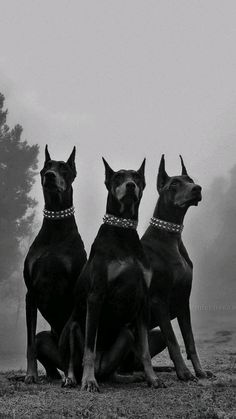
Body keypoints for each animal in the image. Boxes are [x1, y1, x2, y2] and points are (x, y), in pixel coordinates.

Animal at [23, 147, 86, 384]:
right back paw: (51, 375)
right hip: (44, 337)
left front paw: (70, 377)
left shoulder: (74, 293)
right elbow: (29, 343)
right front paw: (30, 375)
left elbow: (71, 341)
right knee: (41, 347)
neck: (56, 226)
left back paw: (71, 375)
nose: (50, 176)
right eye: (46, 167)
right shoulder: (30, 292)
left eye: (64, 168)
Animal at [59, 159, 164, 392]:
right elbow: (89, 348)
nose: (130, 186)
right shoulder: (96, 296)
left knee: (112, 372)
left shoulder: (143, 300)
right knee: (72, 361)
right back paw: (73, 379)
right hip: (72, 326)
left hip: (126, 332)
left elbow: (145, 350)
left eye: (137, 177)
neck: (123, 231)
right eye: (118, 177)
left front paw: (153, 378)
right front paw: (89, 382)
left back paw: (126, 377)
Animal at [142, 156, 212, 382]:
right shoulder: (159, 300)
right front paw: (184, 372)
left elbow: (190, 341)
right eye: (173, 184)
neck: (170, 237)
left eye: (190, 180)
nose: (197, 188)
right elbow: (173, 339)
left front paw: (199, 371)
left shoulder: (183, 300)